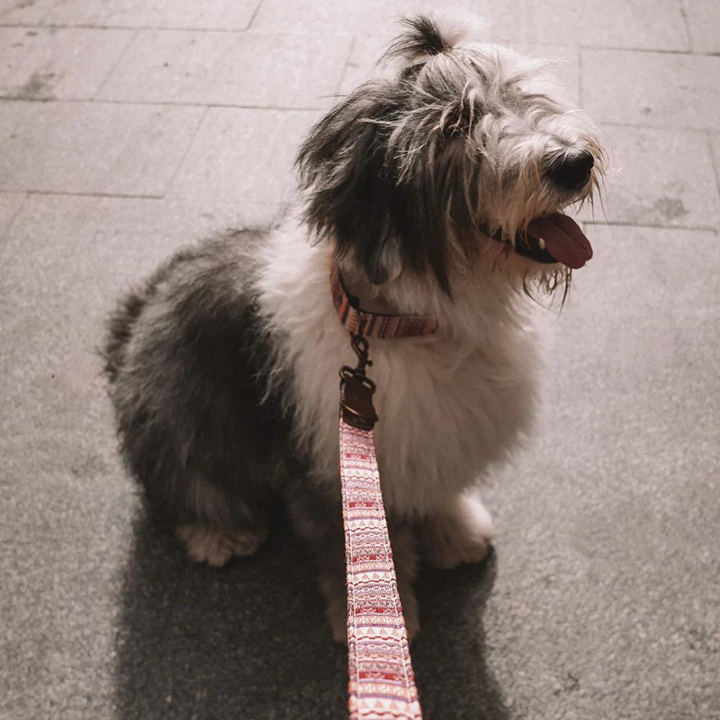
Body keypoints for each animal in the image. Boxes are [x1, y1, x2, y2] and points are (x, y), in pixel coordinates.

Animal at [102, 12, 608, 640]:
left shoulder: (430, 436)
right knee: (182, 483)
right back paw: (217, 533)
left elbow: (435, 489)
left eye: (517, 93)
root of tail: (133, 321)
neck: (398, 322)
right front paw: (373, 620)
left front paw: (454, 532)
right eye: (455, 125)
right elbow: (345, 546)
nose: (574, 162)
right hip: (178, 407)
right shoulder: (326, 467)